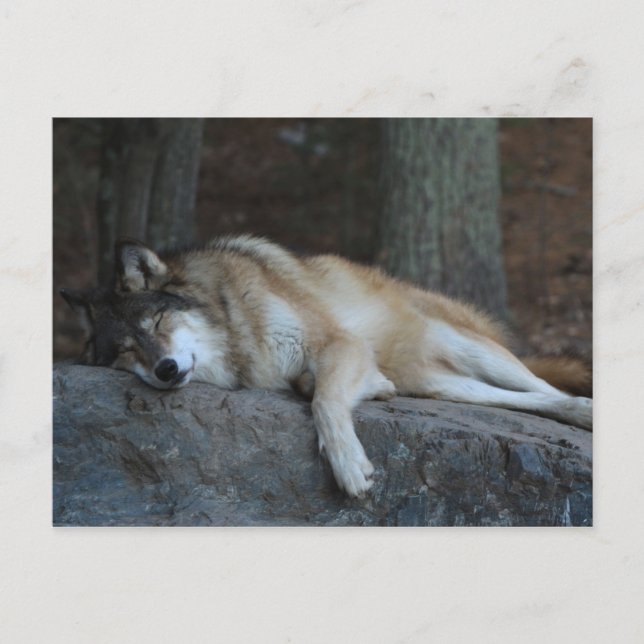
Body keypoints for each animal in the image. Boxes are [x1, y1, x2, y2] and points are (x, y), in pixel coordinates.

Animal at [60, 235, 592, 497]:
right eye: (127, 349)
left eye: (157, 319)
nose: (167, 370)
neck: (234, 325)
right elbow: (311, 387)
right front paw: (374, 388)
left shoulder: (339, 342)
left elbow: (325, 401)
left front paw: (349, 466)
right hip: (439, 385)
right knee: (528, 400)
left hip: (473, 350)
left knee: (548, 388)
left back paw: (583, 411)